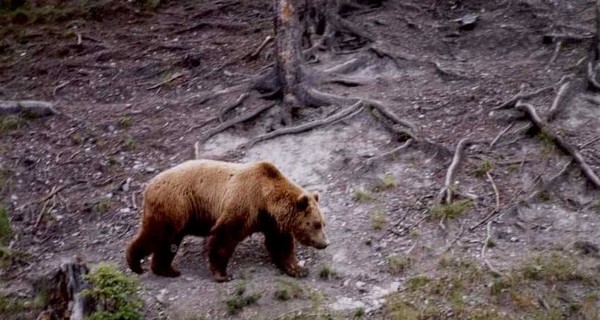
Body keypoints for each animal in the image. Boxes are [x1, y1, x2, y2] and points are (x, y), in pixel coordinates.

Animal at [123, 159, 328, 282]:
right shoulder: (243, 205)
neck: (266, 200)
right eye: (316, 224)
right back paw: (135, 263)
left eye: (323, 223)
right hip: (174, 205)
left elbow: (280, 244)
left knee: (168, 243)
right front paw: (223, 274)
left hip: (178, 215)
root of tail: (149, 185)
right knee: (156, 235)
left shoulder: (271, 222)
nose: (325, 243)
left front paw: (297, 269)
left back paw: (166, 269)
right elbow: (224, 238)